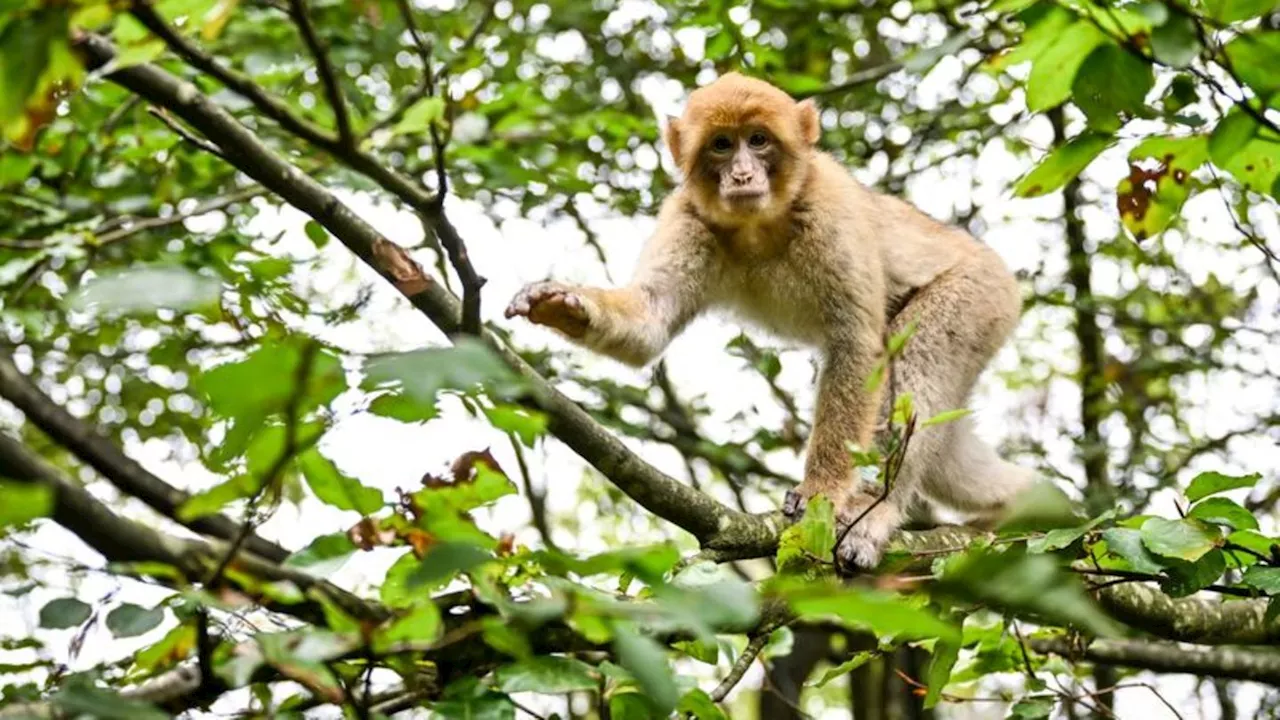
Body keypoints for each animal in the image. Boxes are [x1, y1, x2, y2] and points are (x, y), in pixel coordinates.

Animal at [504, 71, 1034, 566]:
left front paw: (822, 491)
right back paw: (1020, 502)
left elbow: (858, 345)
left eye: (758, 140)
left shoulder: (831, 210)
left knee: (916, 366)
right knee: (944, 450)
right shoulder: (688, 216)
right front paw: (562, 303)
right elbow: (649, 322)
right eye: (721, 145)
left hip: (978, 296)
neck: (759, 223)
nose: (742, 174)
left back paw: (877, 511)